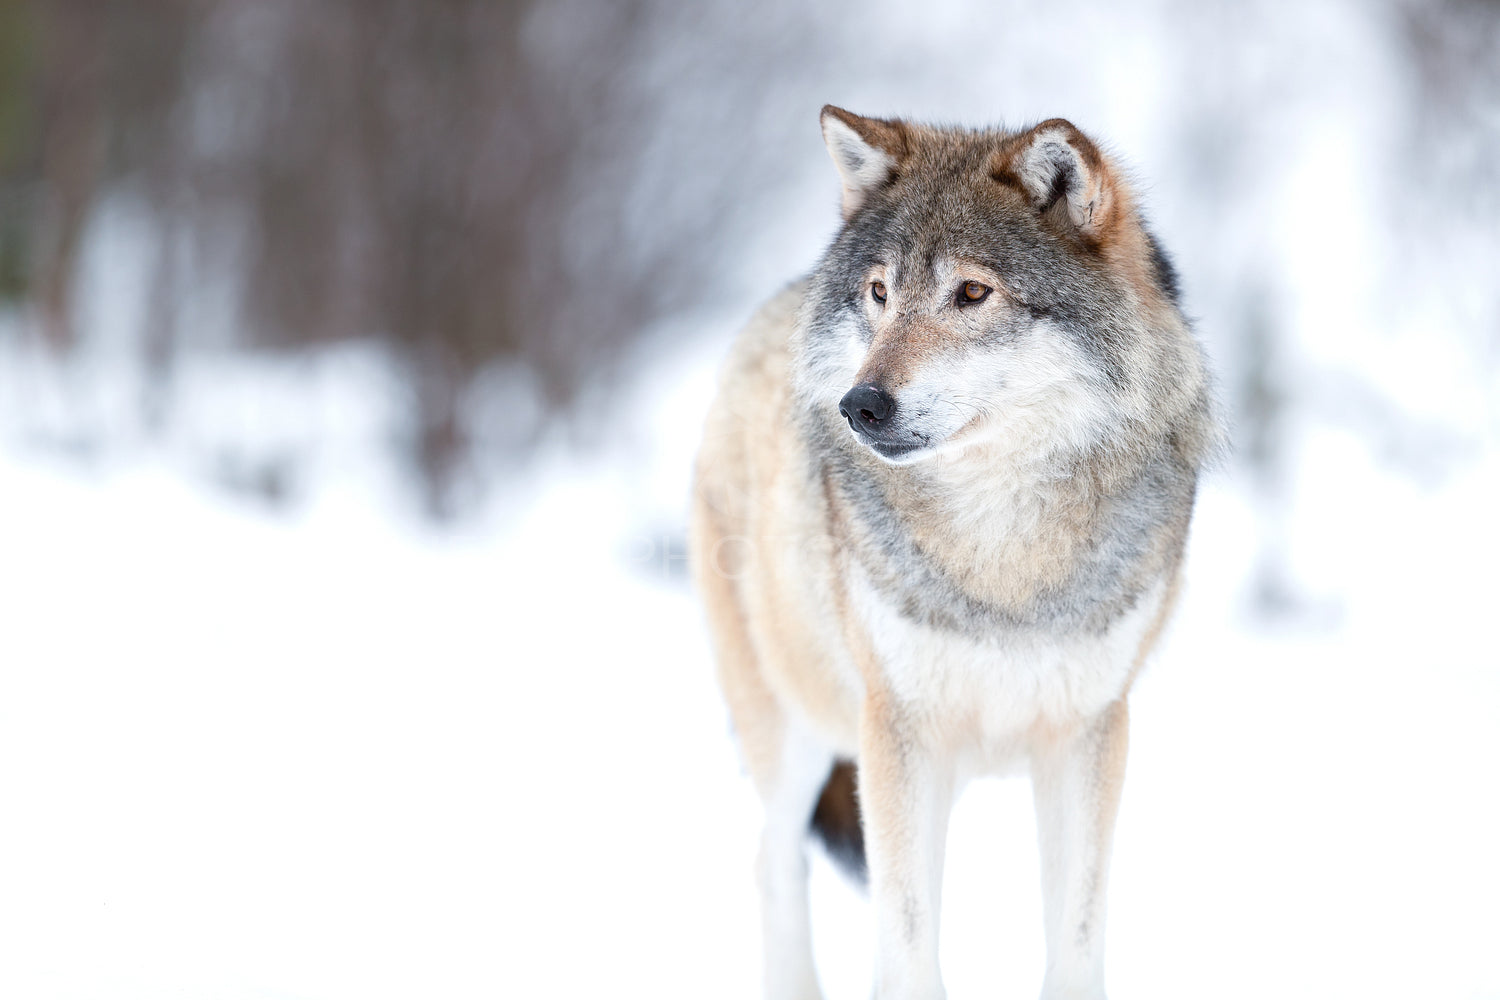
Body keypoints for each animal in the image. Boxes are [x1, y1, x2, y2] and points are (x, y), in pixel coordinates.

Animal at [690, 107, 1218, 1000]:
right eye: (880, 293)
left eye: (971, 293)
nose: (861, 405)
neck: (1000, 552)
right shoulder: (899, 735)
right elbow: (907, 945)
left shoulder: (1088, 733)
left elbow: (1076, 939)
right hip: (796, 731)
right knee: (773, 860)